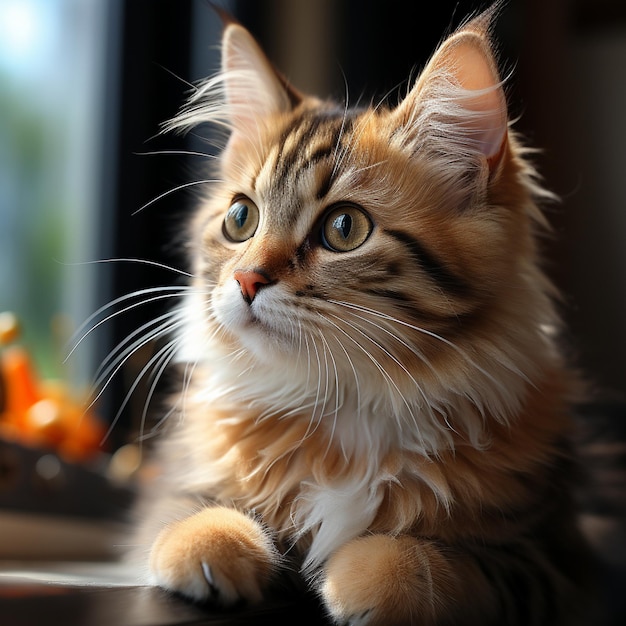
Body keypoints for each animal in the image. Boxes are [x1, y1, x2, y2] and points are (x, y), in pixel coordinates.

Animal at [130, 4, 588, 624]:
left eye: (344, 229)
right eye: (240, 219)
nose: (246, 279)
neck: (345, 405)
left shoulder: (550, 554)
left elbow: (452, 562)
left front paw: (373, 579)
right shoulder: (173, 484)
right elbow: (181, 513)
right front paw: (212, 543)